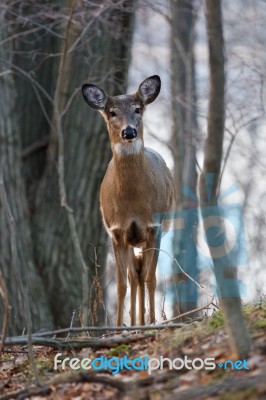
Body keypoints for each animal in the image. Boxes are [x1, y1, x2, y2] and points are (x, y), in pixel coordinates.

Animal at [82, 75, 176, 324]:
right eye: (112, 112)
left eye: (137, 109)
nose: (130, 132)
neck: (133, 203)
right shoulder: (116, 231)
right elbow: (121, 285)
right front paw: (116, 327)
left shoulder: (154, 226)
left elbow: (151, 278)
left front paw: (152, 323)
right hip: (131, 240)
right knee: (134, 275)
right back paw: (134, 322)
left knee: (142, 274)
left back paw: (142, 322)